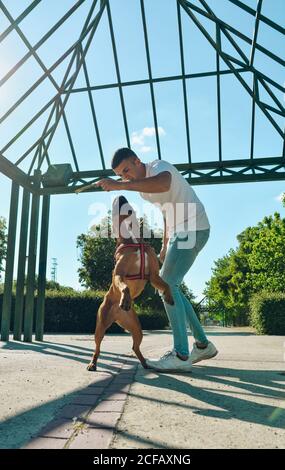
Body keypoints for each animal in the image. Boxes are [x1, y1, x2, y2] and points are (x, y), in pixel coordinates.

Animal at [86, 195, 173, 370]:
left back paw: (145, 363)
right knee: (97, 346)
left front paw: (168, 296)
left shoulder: (154, 276)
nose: (120, 196)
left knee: (135, 346)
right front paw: (125, 298)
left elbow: (165, 284)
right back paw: (93, 363)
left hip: (137, 328)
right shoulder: (119, 274)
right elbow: (125, 286)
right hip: (100, 325)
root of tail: (117, 314)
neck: (132, 235)